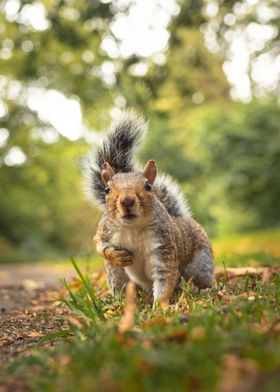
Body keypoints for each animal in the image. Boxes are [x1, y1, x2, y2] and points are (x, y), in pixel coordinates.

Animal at [84, 112, 213, 308]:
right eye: (107, 189)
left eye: (148, 186)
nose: (127, 200)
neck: (133, 228)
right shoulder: (105, 231)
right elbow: (99, 245)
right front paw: (117, 255)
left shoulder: (163, 249)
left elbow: (165, 282)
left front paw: (160, 308)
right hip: (117, 275)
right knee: (121, 285)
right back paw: (121, 302)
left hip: (200, 263)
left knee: (198, 279)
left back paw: (200, 290)